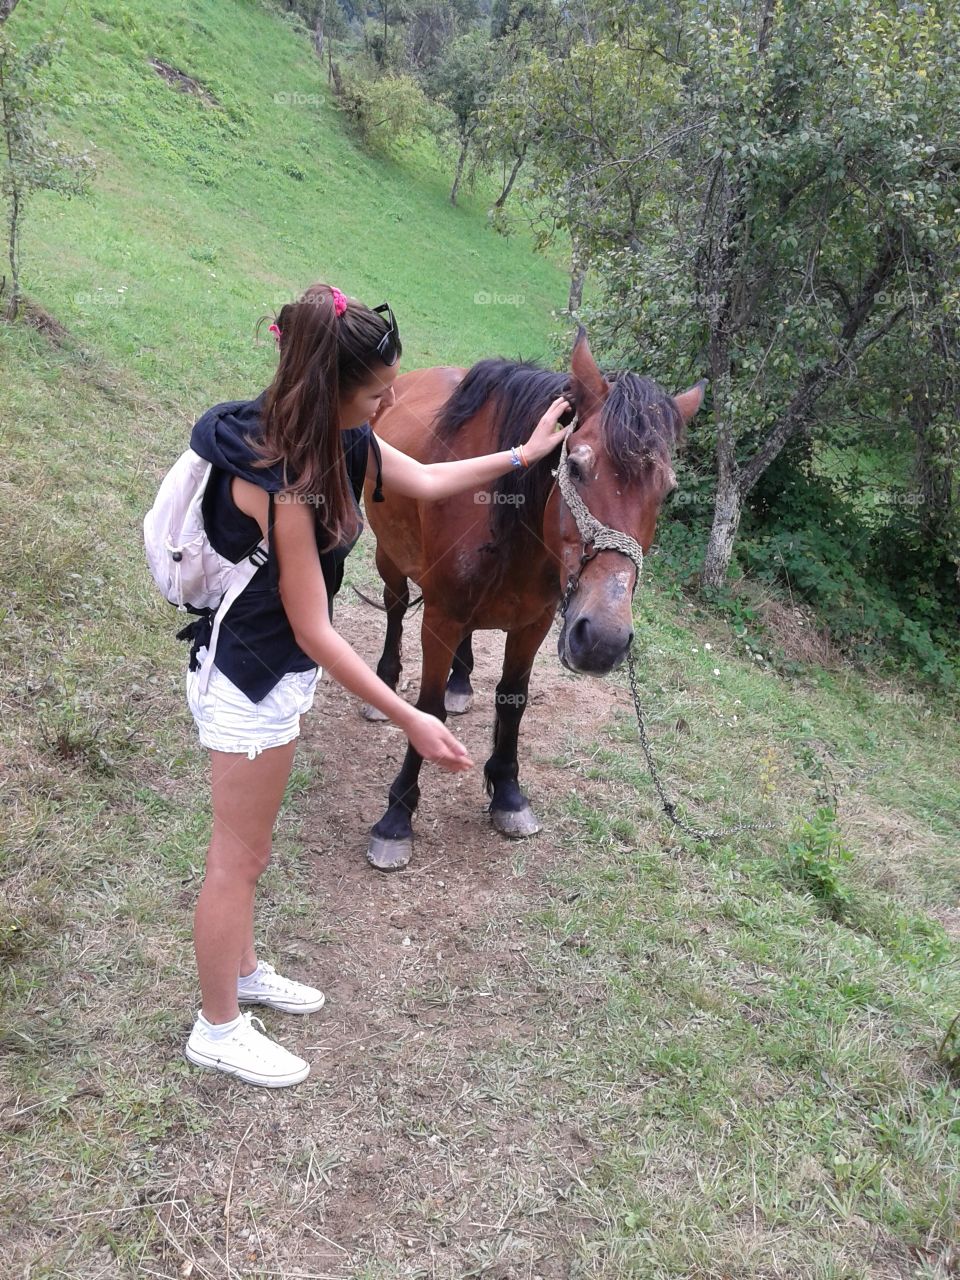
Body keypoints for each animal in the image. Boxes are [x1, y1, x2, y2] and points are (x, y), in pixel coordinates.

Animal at [360, 328, 705, 871]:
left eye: (666, 491)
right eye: (577, 465)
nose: (604, 640)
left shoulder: (535, 622)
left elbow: (513, 701)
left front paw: (507, 792)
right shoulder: (441, 615)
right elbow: (428, 710)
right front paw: (397, 818)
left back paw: (462, 681)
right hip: (391, 559)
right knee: (395, 610)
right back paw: (385, 682)